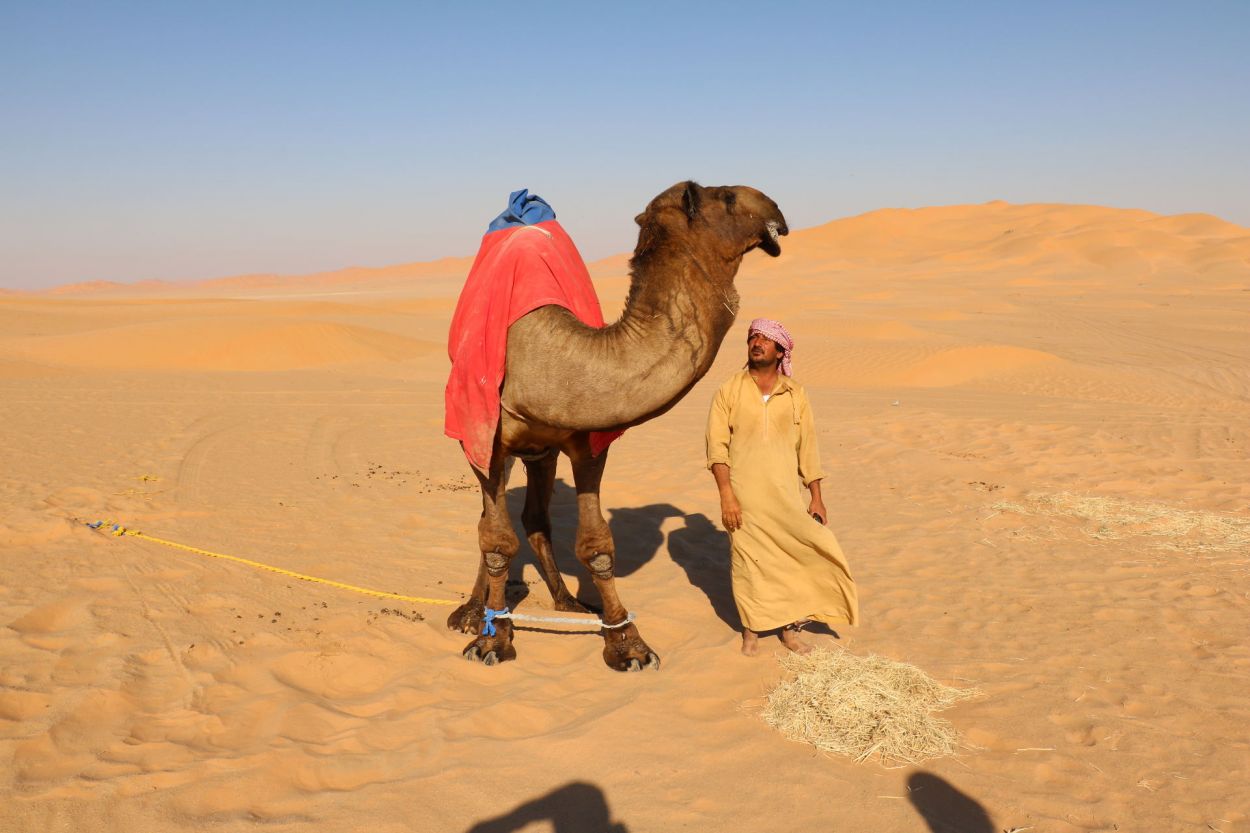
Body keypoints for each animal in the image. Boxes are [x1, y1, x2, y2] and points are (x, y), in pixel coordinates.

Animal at [448, 180, 788, 671]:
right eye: (725, 197)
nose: (775, 207)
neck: (547, 360)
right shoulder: (487, 444)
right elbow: (496, 543)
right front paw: (492, 639)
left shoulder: (588, 444)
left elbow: (597, 546)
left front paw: (627, 644)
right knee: (492, 523)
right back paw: (473, 613)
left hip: (542, 452)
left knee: (535, 517)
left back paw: (568, 603)